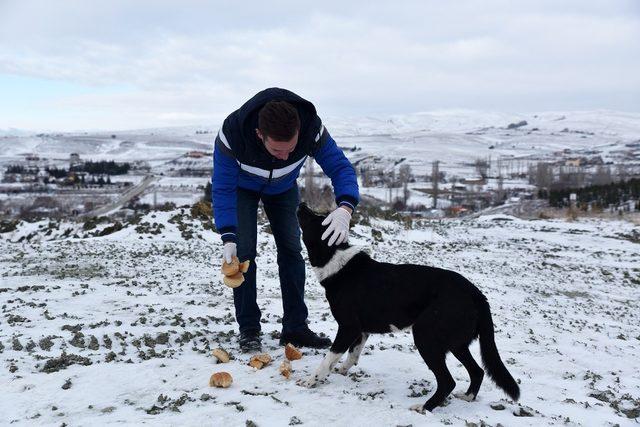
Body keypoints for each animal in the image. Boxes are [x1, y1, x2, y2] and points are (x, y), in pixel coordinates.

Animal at [298, 205, 520, 414]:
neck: (338, 262)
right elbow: (353, 355)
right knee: (477, 371)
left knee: (448, 381)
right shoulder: (362, 330)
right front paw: (341, 370)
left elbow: (328, 358)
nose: (301, 204)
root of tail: (477, 295)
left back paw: (424, 407)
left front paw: (310, 381)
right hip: (456, 344)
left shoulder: (348, 328)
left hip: (425, 336)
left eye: (314, 220)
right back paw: (467, 397)